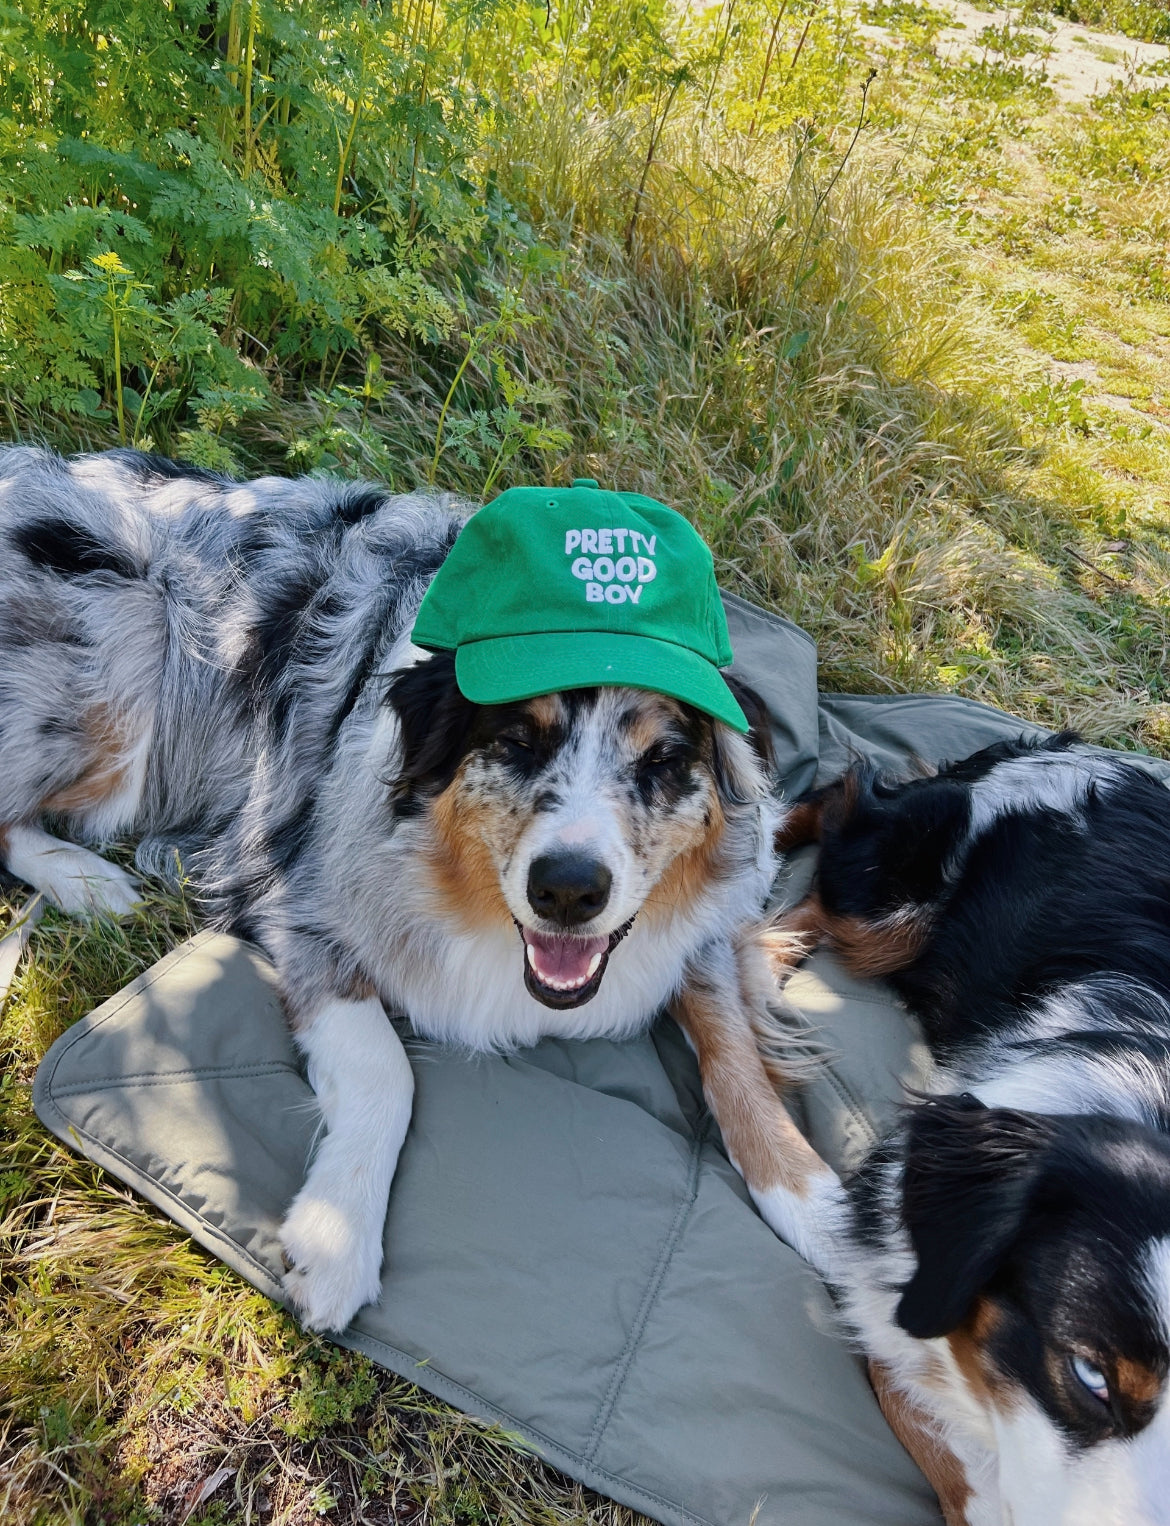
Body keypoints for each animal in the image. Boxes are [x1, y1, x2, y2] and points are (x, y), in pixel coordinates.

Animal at [0, 445, 823, 1336]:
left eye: (664, 761)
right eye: (517, 740)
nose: (568, 891)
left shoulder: (700, 933)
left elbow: (736, 1054)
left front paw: (818, 1204)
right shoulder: (303, 908)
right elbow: (384, 1069)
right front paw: (337, 1239)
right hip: (119, 672)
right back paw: (89, 882)